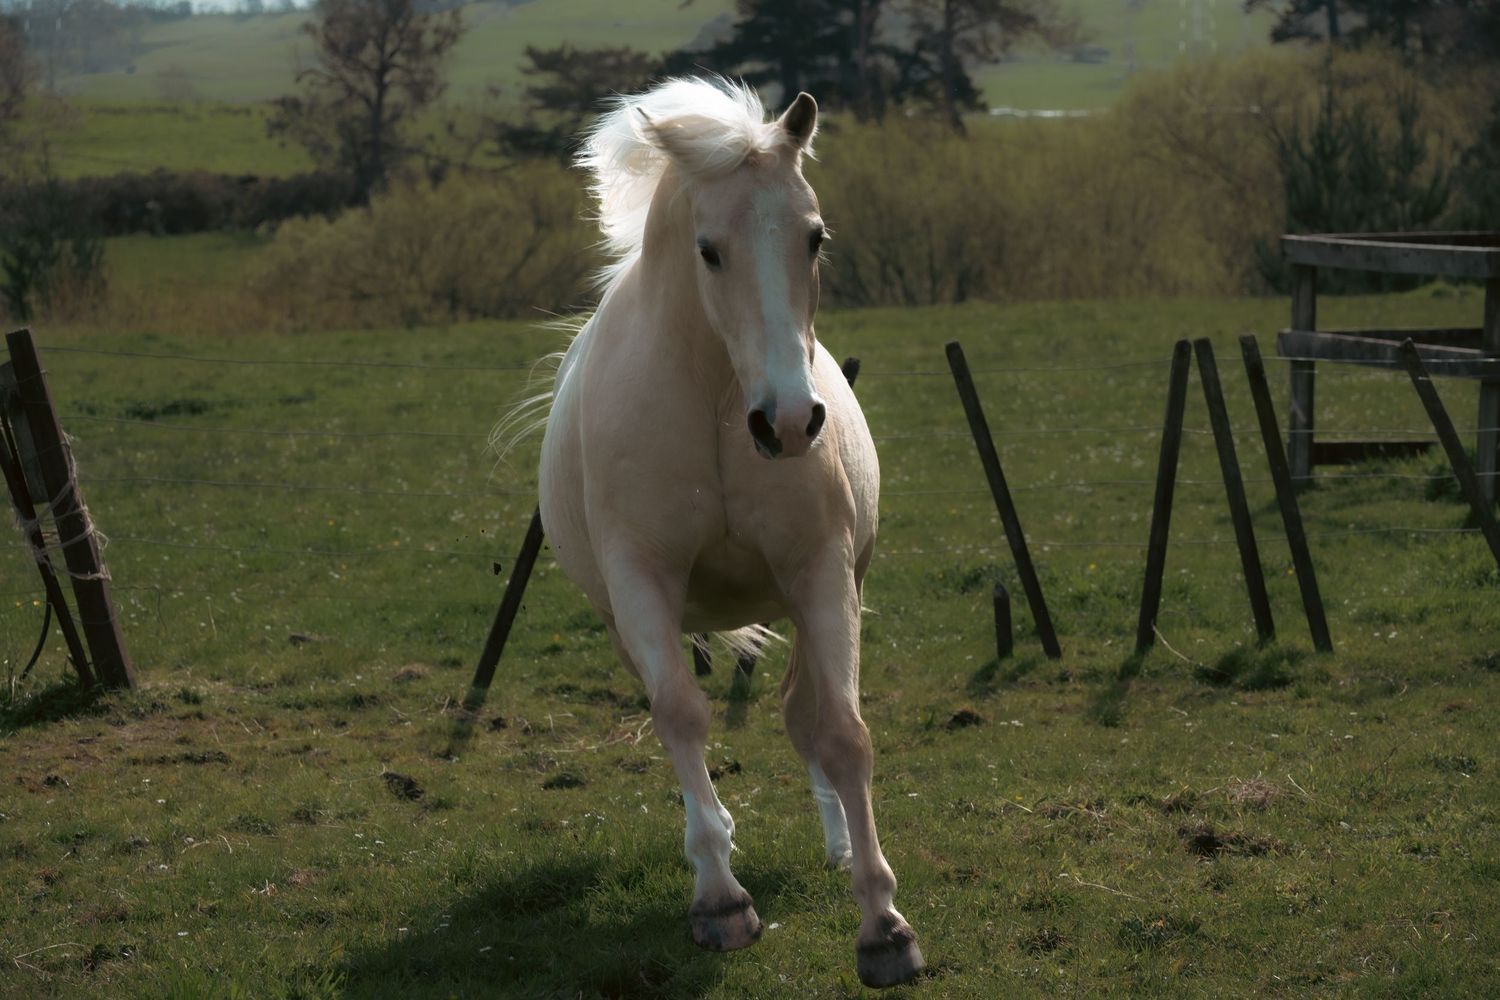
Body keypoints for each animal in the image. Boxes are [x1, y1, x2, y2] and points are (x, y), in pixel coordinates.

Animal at [533, 77, 924, 988]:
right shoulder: (641, 581)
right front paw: (720, 898)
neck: (715, 392)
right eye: (709, 250)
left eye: (815, 237)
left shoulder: (820, 572)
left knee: (805, 712)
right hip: (623, 620)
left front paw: (883, 925)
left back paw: (839, 846)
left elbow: (842, 731)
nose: (788, 422)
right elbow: (680, 714)